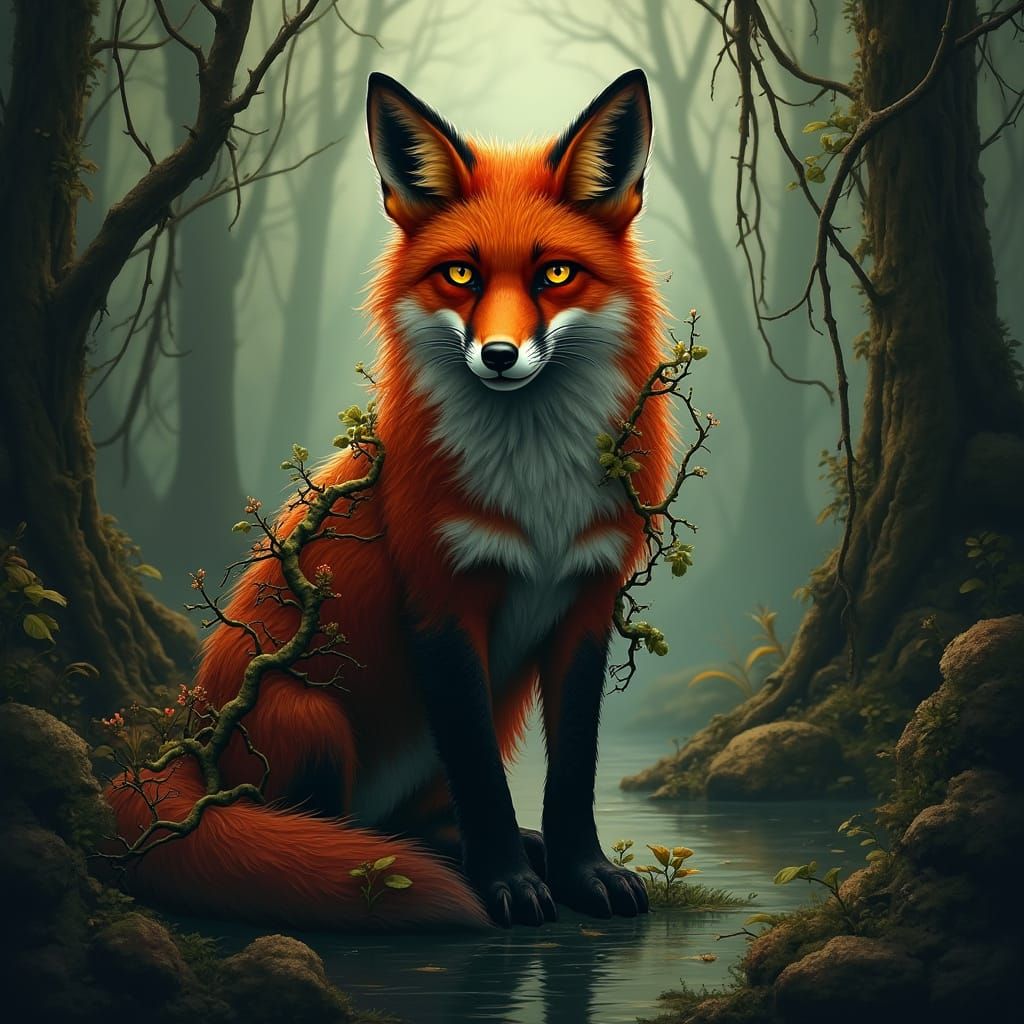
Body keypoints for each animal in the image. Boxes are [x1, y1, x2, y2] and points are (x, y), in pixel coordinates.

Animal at [108, 68, 673, 930]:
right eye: (462, 275)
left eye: (555, 274)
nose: (499, 355)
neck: (537, 491)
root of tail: (187, 734)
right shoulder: (441, 600)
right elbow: (482, 777)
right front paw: (507, 884)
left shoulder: (587, 598)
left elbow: (574, 767)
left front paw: (585, 873)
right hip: (309, 720)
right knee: (330, 827)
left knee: (410, 820)